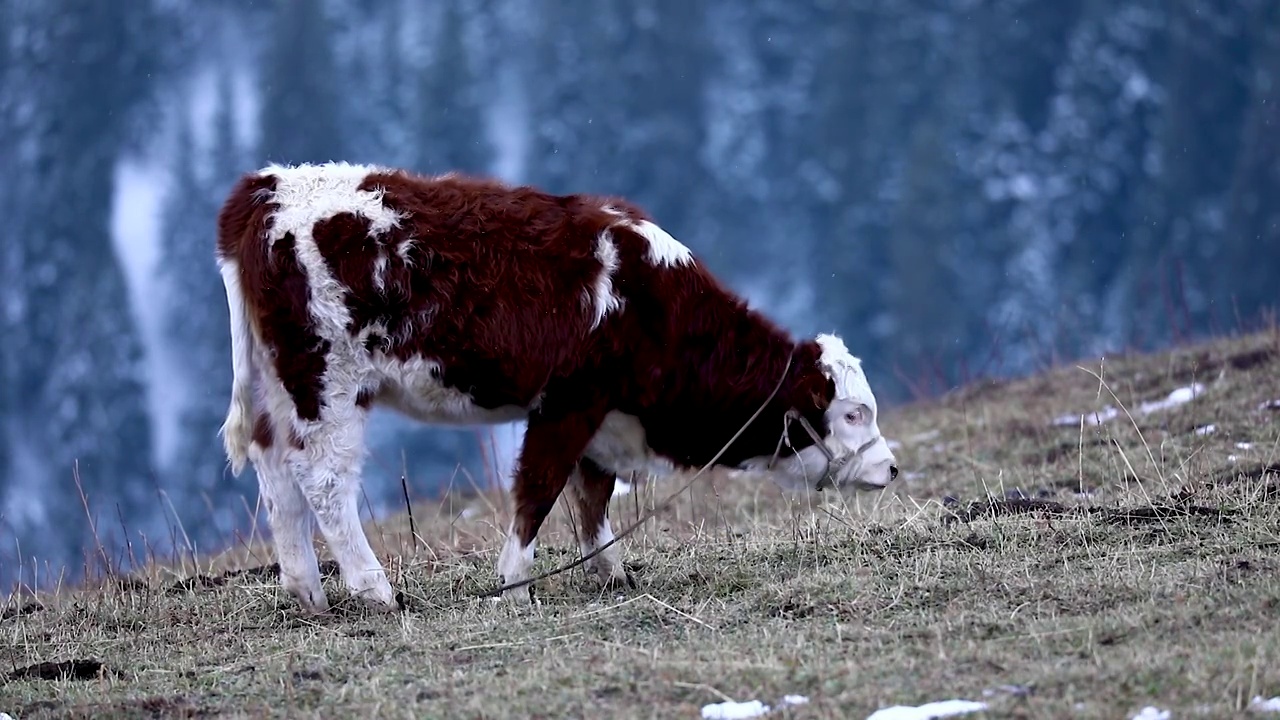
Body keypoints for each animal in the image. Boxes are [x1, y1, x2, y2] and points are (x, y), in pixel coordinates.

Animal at [215, 159, 896, 607]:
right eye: (853, 413)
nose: (890, 467)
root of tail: (267, 185)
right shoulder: (569, 401)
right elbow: (539, 490)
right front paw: (515, 580)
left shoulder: (602, 415)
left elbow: (592, 495)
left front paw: (609, 571)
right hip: (326, 380)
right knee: (324, 479)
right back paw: (373, 588)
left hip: (280, 385)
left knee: (274, 467)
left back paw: (306, 590)